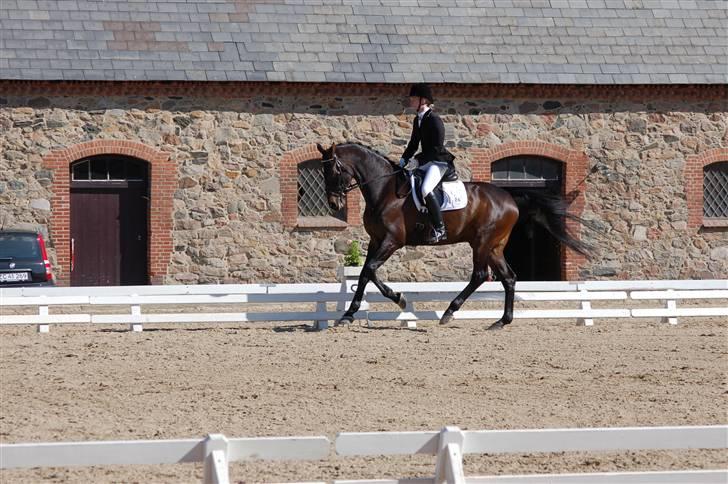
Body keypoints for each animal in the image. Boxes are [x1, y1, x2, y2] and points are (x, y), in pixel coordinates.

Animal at [318, 142, 592, 330]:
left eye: (335, 170)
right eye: (322, 172)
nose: (333, 204)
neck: (385, 190)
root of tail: (509, 197)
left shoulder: (392, 241)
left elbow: (368, 271)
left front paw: (373, 307)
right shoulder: (376, 241)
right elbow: (367, 272)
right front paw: (378, 304)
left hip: (482, 243)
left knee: (480, 275)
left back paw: (450, 312)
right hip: (494, 246)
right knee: (508, 278)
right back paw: (501, 321)